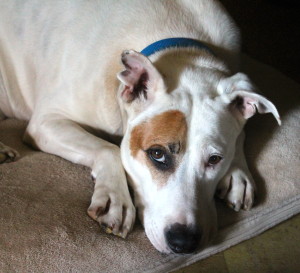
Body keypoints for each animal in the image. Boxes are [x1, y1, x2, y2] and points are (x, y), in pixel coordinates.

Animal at [0, 0, 282, 253]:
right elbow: (109, 149)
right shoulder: (46, 121)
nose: (183, 242)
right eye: (157, 154)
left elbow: (241, 132)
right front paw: (116, 199)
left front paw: (236, 173)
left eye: (215, 159)